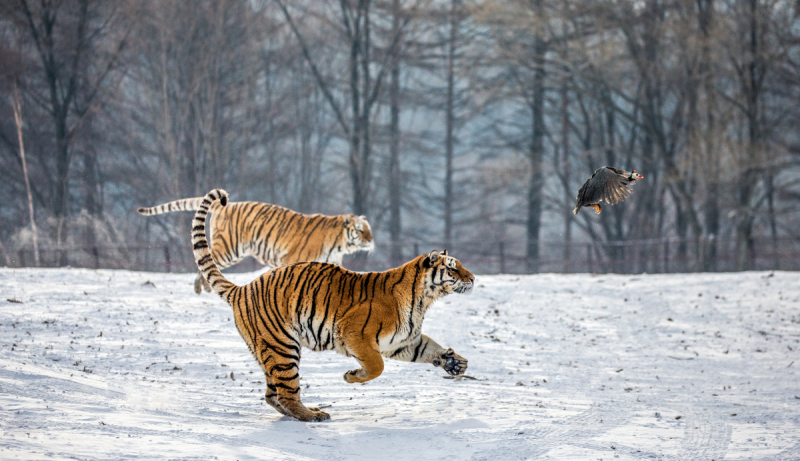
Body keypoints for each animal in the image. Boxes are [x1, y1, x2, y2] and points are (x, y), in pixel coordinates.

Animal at [138, 194, 376, 292]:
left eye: (369, 229)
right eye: (360, 230)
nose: (372, 241)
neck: (339, 244)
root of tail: (224, 205)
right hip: (229, 249)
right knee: (206, 260)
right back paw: (201, 286)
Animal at [191, 188, 472, 420]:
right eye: (452, 268)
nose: (472, 278)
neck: (424, 299)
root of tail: (242, 288)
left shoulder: (404, 340)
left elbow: (429, 348)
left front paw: (454, 362)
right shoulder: (354, 332)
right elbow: (377, 366)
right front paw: (351, 376)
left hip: (271, 349)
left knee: (272, 396)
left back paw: (308, 411)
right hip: (283, 348)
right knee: (286, 393)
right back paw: (313, 415)